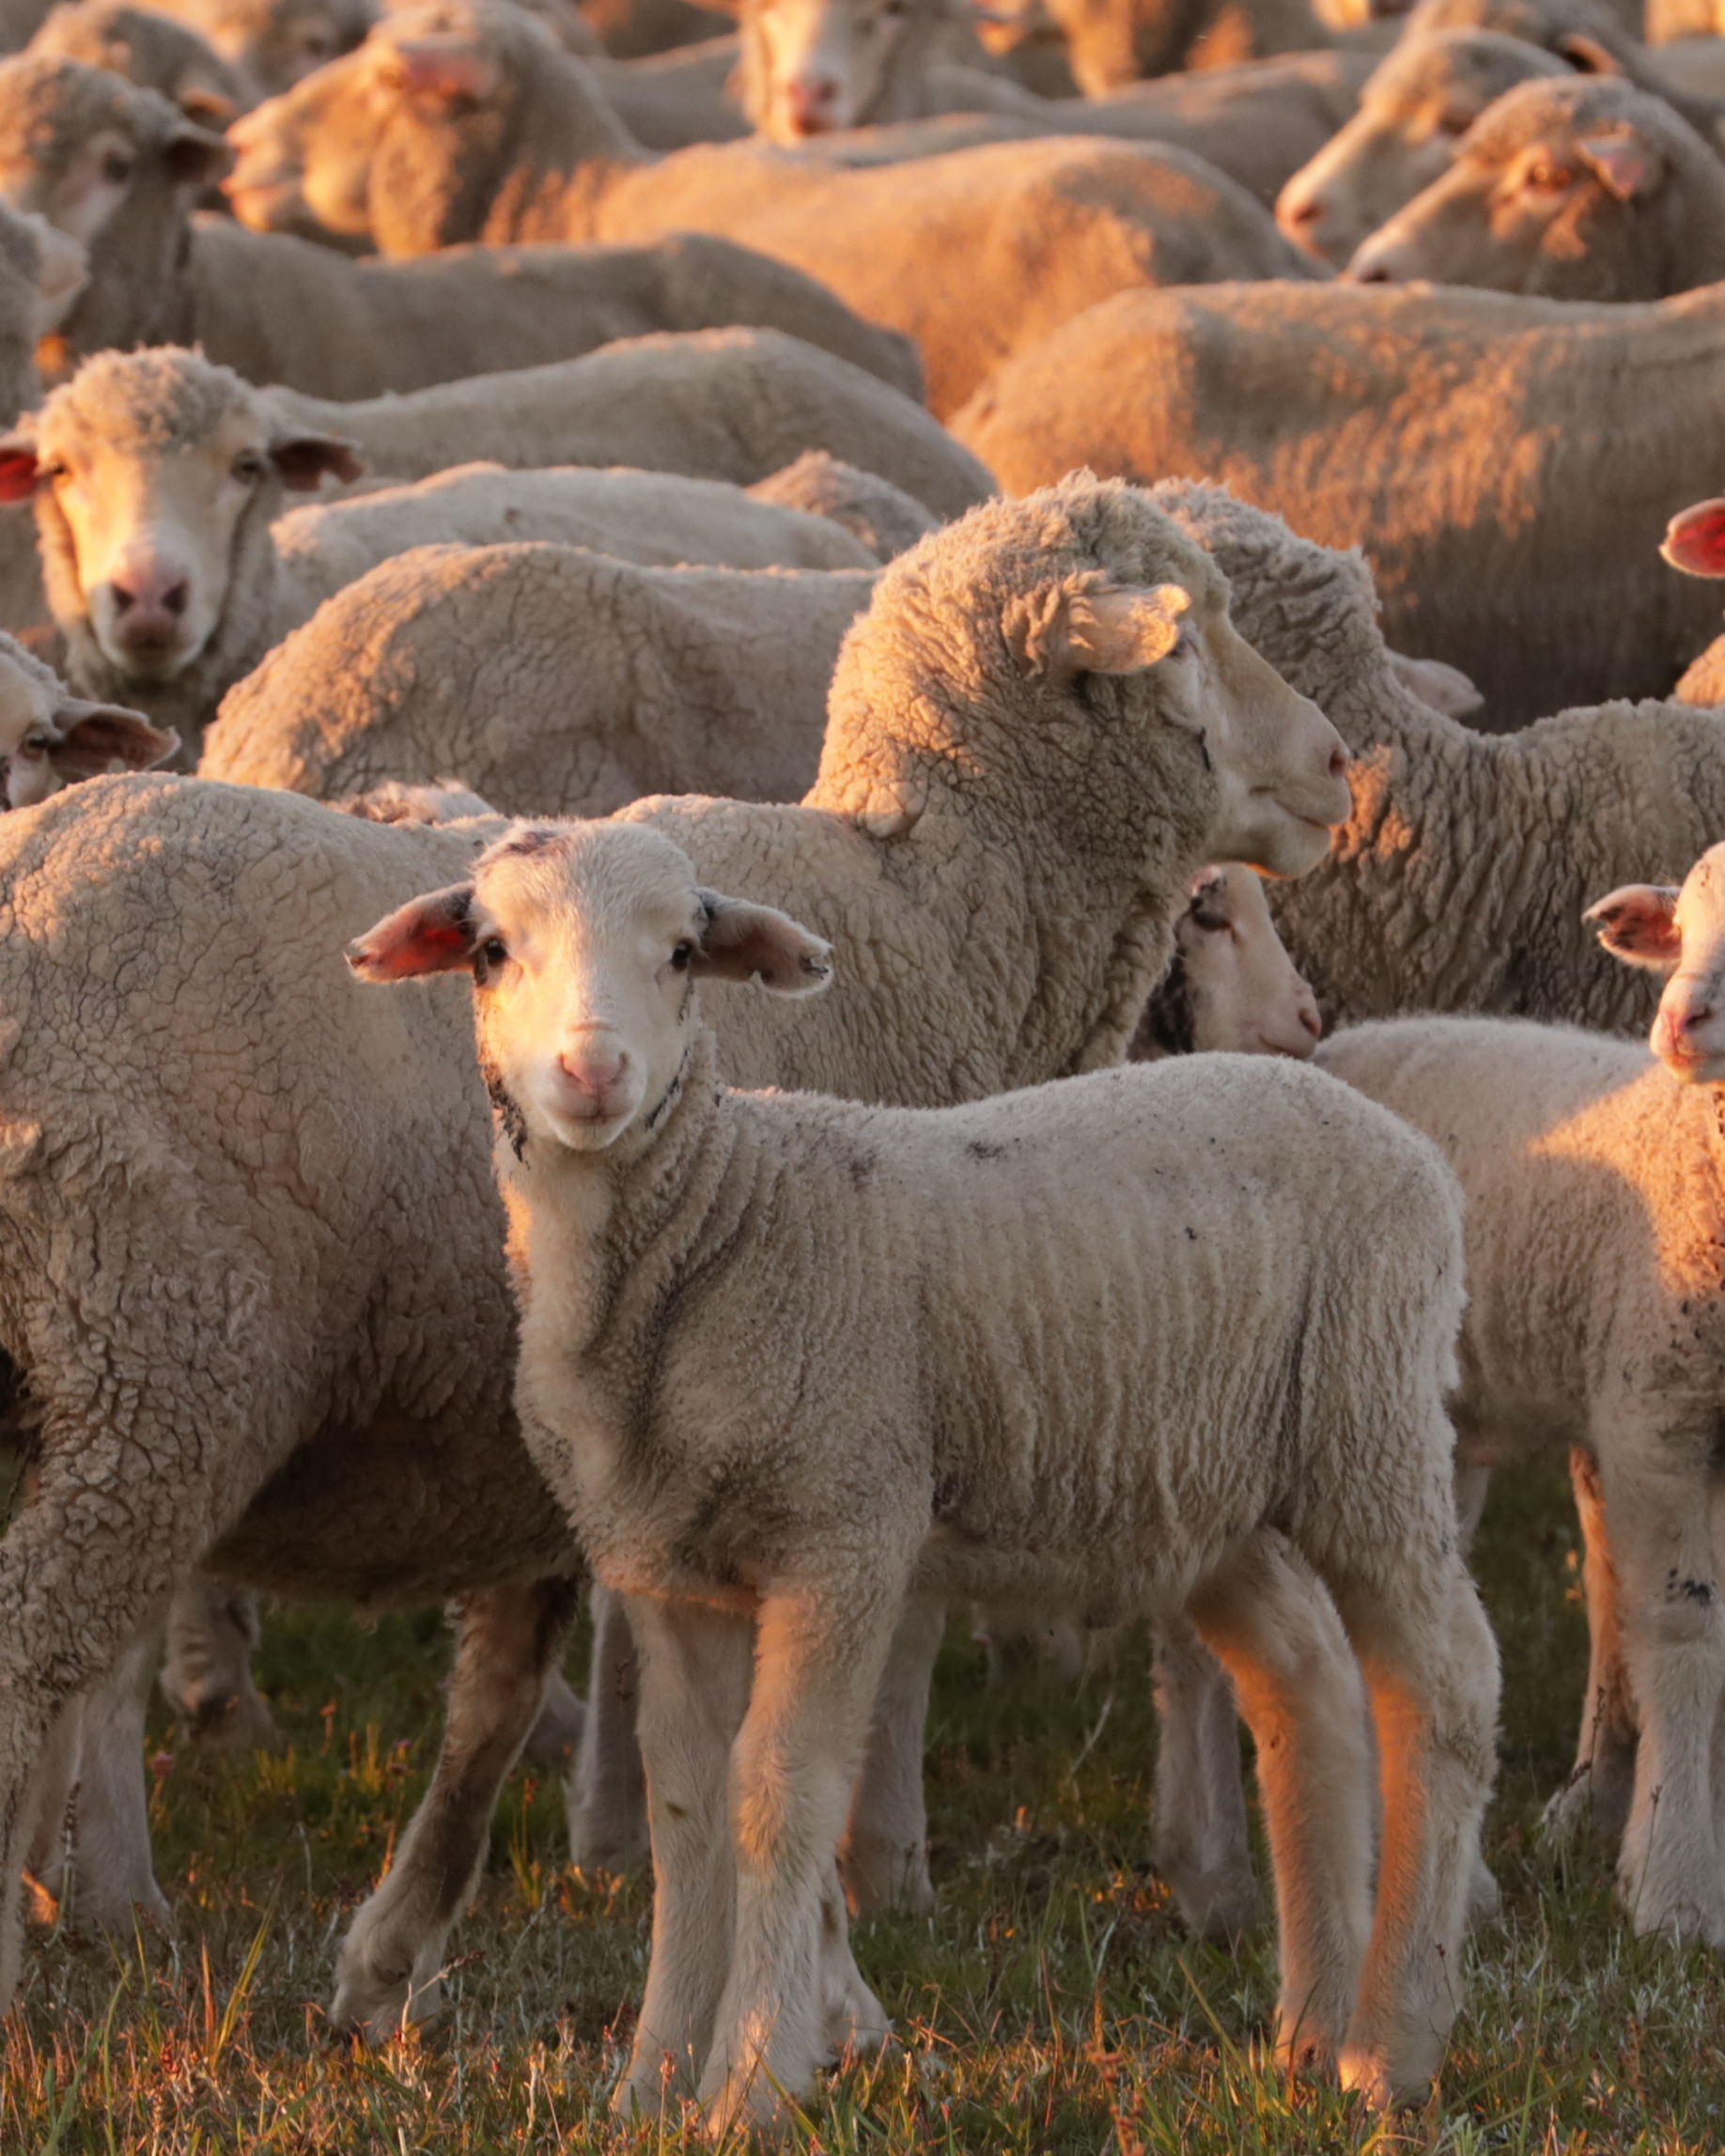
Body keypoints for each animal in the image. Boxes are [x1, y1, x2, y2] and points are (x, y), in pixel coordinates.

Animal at [351, 814, 1495, 2127]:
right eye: (491, 950)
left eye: (684, 951)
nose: (594, 1073)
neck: (716, 1225)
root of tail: (1392, 1134)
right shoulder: (665, 1566)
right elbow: (686, 1809)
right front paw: (652, 2084)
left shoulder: (844, 1526)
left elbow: (779, 1793)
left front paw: (753, 2083)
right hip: (1211, 1493)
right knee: (1304, 1684)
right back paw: (1312, 2037)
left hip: (1370, 1419)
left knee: (1444, 1688)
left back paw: (1397, 2045)